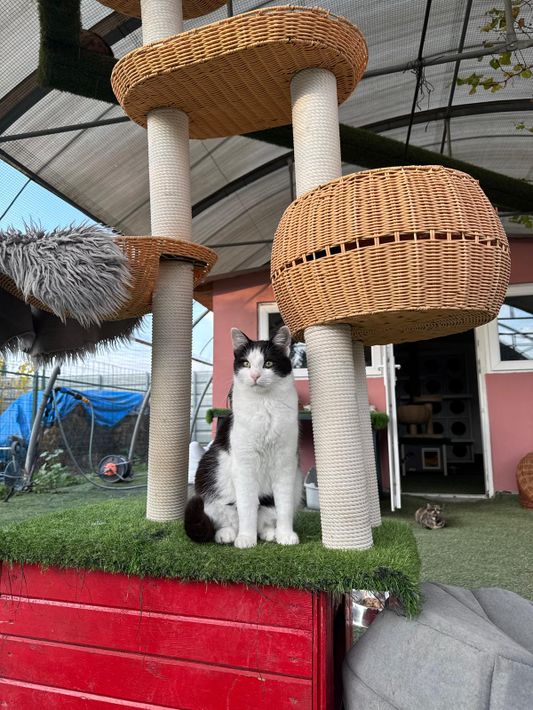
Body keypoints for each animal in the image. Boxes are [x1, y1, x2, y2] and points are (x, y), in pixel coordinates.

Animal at [184, 325, 302, 548]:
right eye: (246, 363)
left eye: (268, 363)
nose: (255, 375)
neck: (265, 405)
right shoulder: (245, 465)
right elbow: (247, 506)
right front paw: (246, 539)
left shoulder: (285, 463)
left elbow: (283, 505)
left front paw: (285, 534)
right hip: (208, 477)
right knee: (226, 518)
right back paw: (228, 534)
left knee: (266, 517)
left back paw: (269, 532)